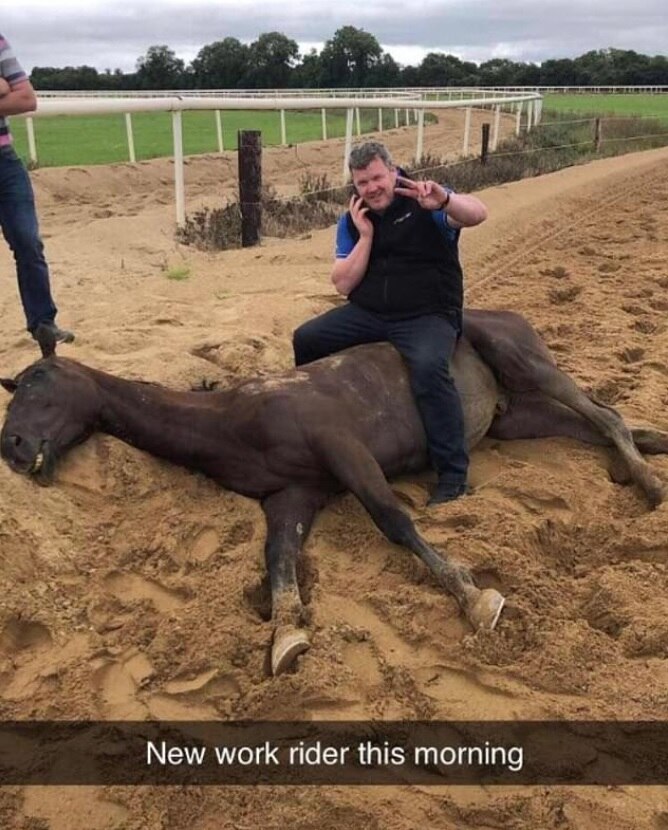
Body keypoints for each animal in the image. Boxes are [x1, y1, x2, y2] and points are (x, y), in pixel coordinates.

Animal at [2, 310, 667, 674]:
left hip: (526, 365)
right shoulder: (292, 496)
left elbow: (395, 521)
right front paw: (287, 636)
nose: (11, 445)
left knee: (603, 415)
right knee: (601, 423)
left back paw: (651, 486)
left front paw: (474, 597)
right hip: (513, 416)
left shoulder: (345, 450)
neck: (234, 417)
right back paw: (649, 453)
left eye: (39, 384)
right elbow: (279, 562)